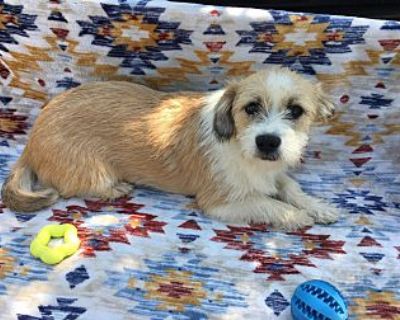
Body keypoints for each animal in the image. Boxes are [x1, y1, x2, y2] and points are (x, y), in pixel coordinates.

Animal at [1, 66, 340, 229]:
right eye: (251, 107)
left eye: (296, 110)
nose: (268, 141)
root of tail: (31, 140)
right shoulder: (221, 203)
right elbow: (269, 203)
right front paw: (295, 216)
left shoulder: (274, 172)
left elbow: (291, 187)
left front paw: (318, 206)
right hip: (92, 171)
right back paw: (113, 189)